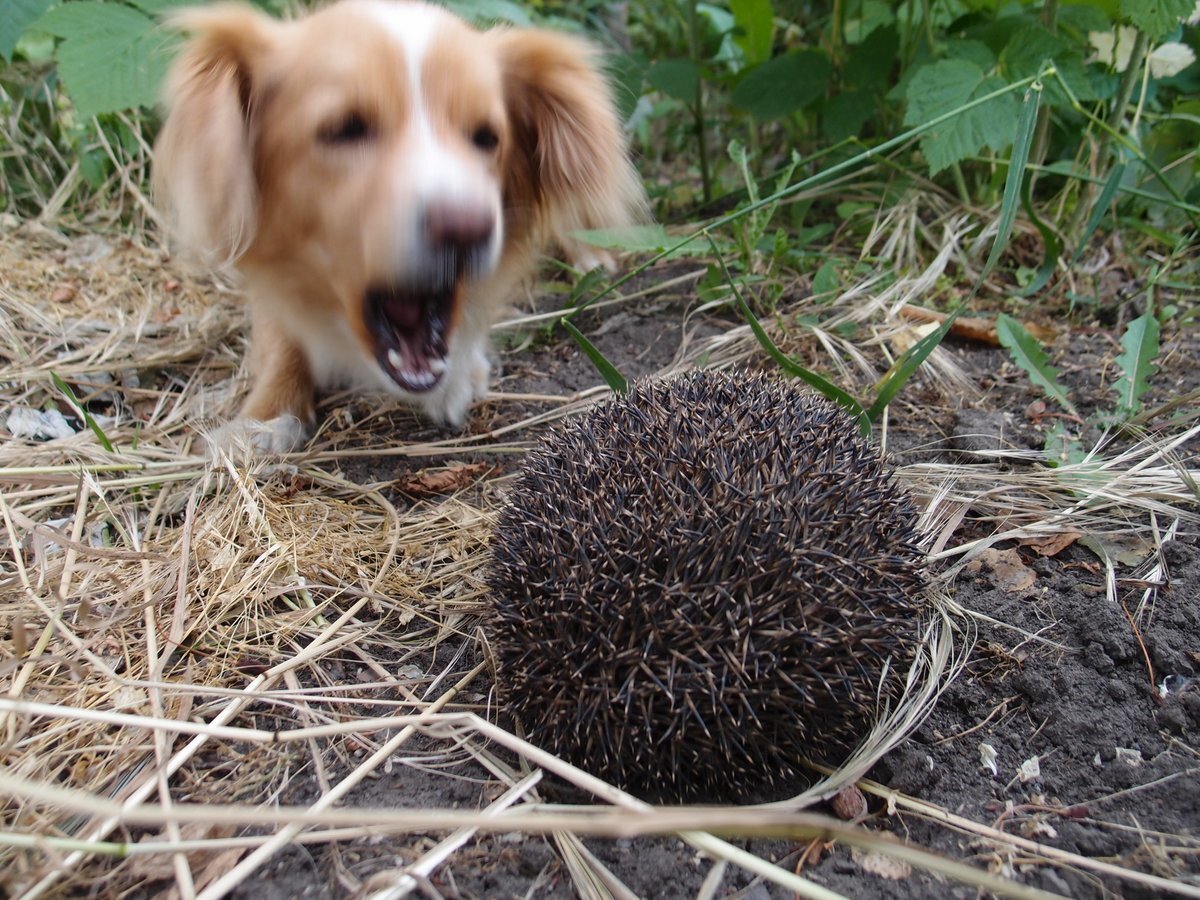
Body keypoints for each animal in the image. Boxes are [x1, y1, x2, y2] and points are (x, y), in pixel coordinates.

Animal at [159, 0, 652, 451]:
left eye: (486, 137)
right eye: (345, 128)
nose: (466, 227)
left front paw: (460, 375)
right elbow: (282, 340)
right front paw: (262, 418)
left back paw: (592, 256)